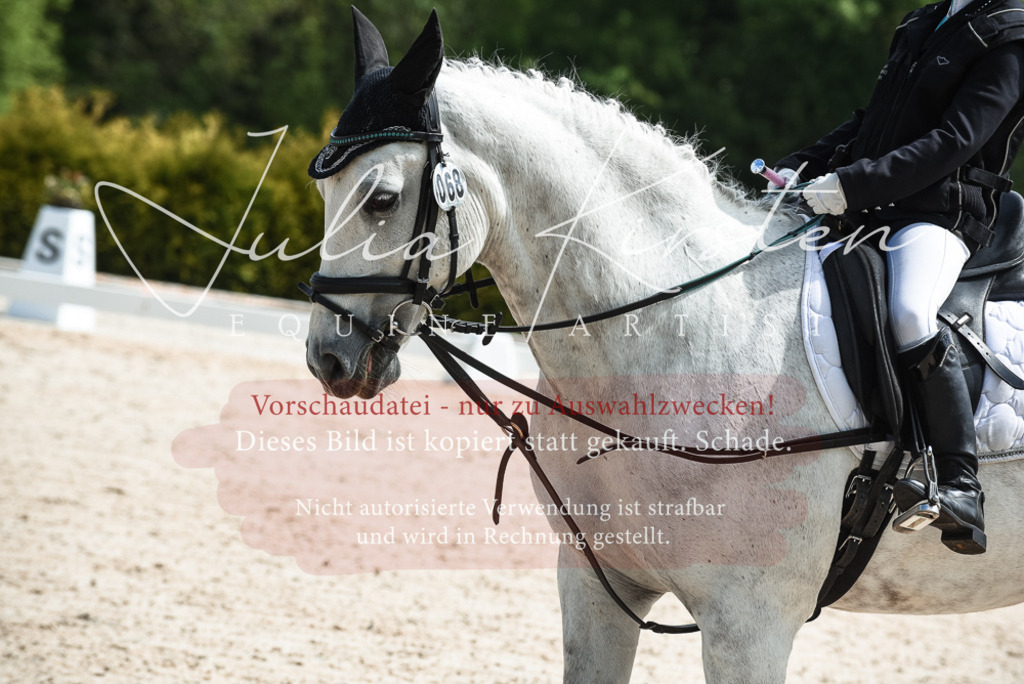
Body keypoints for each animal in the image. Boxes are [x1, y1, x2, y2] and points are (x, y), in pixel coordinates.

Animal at [303, 10, 1024, 682]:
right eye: (324, 191)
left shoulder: (750, 620)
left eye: (382, 198)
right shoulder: (596, 584)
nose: (328, 359)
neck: (679, 331)